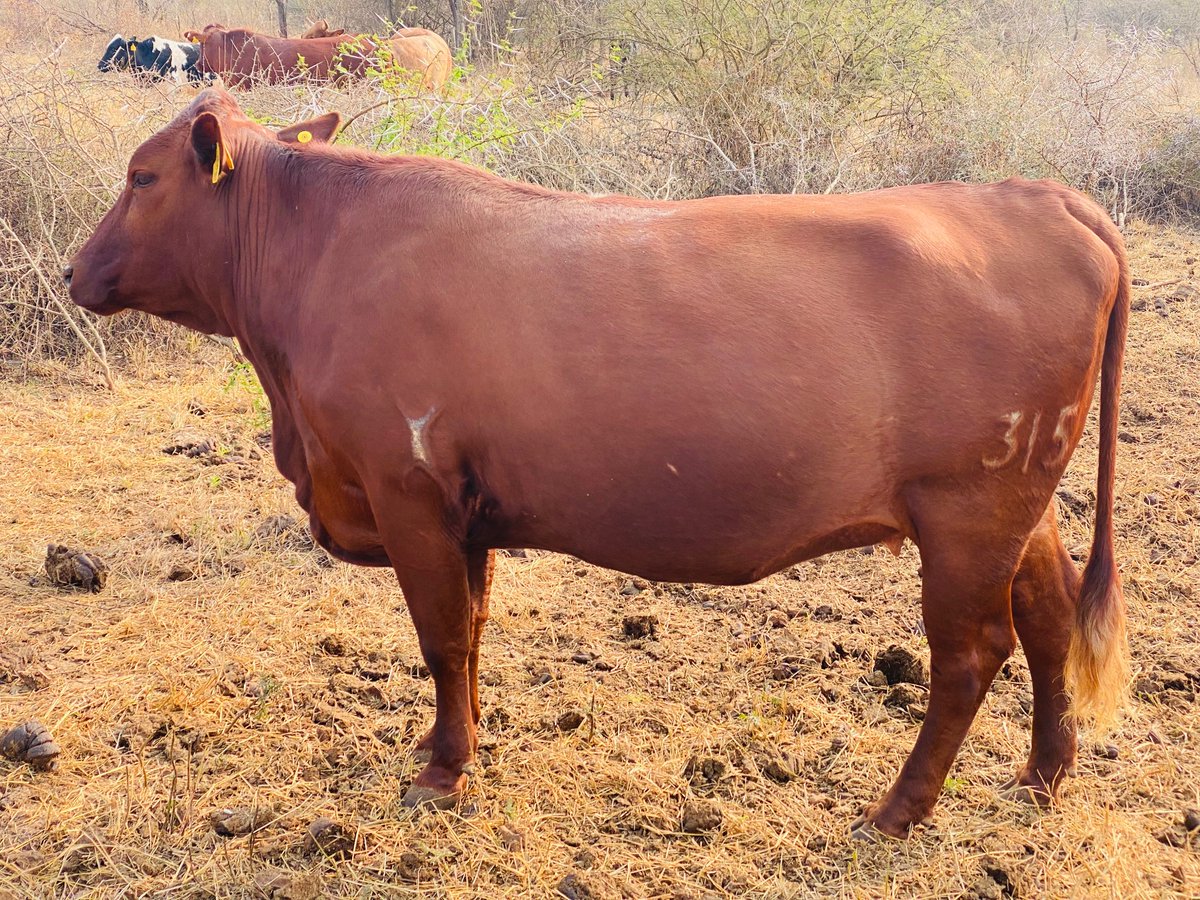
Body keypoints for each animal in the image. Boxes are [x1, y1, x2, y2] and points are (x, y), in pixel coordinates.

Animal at [65, 88, 1130, 840]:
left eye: (142, 178)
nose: (76, 271)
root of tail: (1040, 195)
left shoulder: (408, 495)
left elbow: (440, 638)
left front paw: (441, 775)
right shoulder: (467, 511)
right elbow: (473, 633)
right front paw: (455, 745)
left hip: (966, 507)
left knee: (969, 655)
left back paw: (897, 811)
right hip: (1019, 503)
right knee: (1047, 615)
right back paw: (1043, 775)